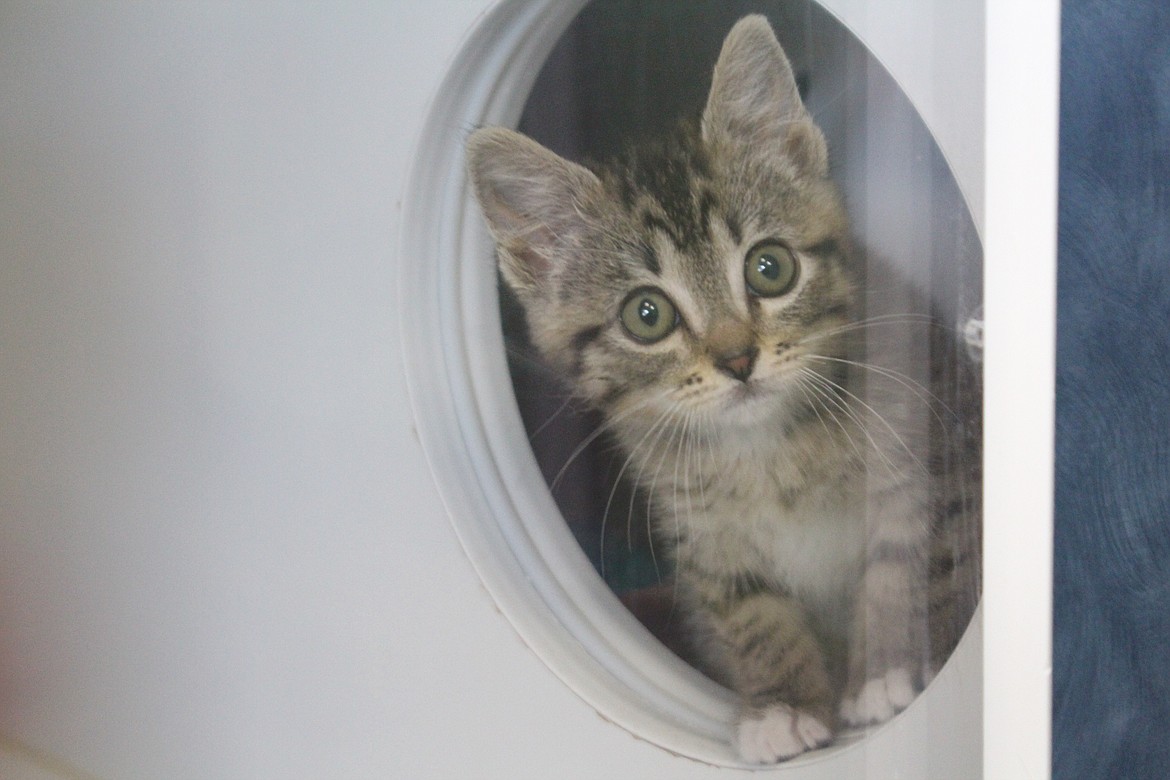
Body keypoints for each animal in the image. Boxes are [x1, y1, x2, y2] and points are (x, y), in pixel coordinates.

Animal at [465, 15, 978, 767]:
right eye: (647, 315)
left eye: (770, 268)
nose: (738, 360)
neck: (768, 452)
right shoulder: (703, 534)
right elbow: (750, 614)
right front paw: (782, 708)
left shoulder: (927, 454)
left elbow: (905, 563)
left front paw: (885, 672)